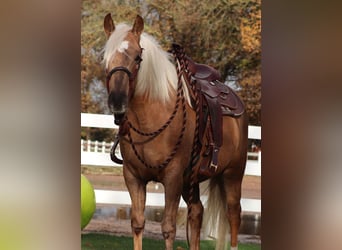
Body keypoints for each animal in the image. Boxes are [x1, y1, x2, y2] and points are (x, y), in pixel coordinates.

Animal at [103, 13, 247, 250]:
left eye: (137, 58)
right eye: (105, 59)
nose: (117, 101)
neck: (151, 120)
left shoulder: (172, 178)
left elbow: (168, 228)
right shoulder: (133, 177)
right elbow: (137, 223)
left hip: (233, 174)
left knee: (234, 214)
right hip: (192, 180)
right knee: (197, 211)